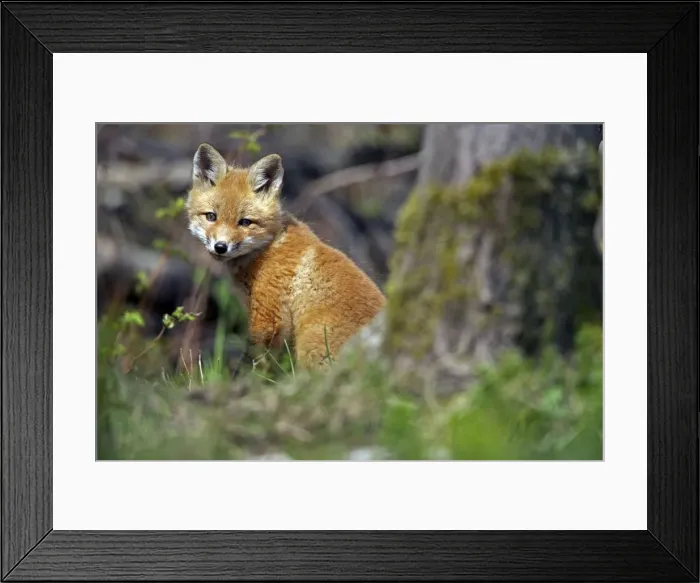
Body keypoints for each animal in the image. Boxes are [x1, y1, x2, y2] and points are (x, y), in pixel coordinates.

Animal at [185, 143, 386, 369]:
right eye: (211, 216)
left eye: (245, 222)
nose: (220, 247)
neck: (268, 246)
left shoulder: (268, 317)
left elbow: (254, 363)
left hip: (310, 346)